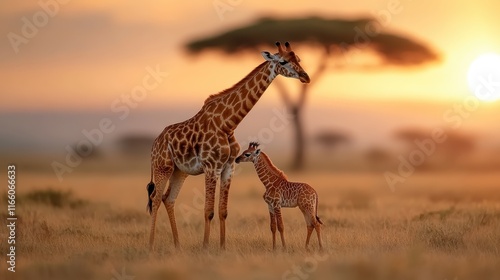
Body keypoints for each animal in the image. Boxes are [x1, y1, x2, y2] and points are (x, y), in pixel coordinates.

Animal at [146, 41, 308, 249]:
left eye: (299, 59)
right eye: (283, 61)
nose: (305, 77)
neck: (228, 124)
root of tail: (154, 144)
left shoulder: (228, 167)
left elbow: (223, 211)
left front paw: (222, 247)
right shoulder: (211, 167)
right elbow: (208, 211)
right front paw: (206, 247)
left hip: (179, 171)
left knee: (169, 199)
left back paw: (177, 246)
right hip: (162, 167)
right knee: (156, 198)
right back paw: (151, 246)